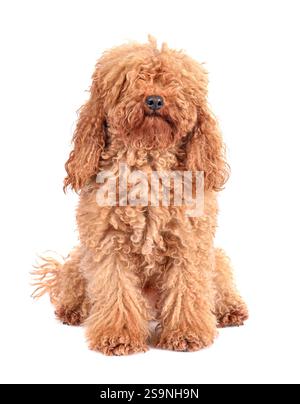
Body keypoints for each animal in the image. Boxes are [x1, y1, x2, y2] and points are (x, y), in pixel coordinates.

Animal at [33, 37, 248, 354]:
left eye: (175, 82)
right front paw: (119, 336)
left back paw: (230, 309)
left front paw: (185, 333)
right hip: (79, 259)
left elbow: (187, 290)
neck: (148, 163)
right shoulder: (108, 245)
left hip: (215, 257)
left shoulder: (189, 244)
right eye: (129, 81)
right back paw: (72, 309)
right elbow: (117, 293)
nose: (155, 100)